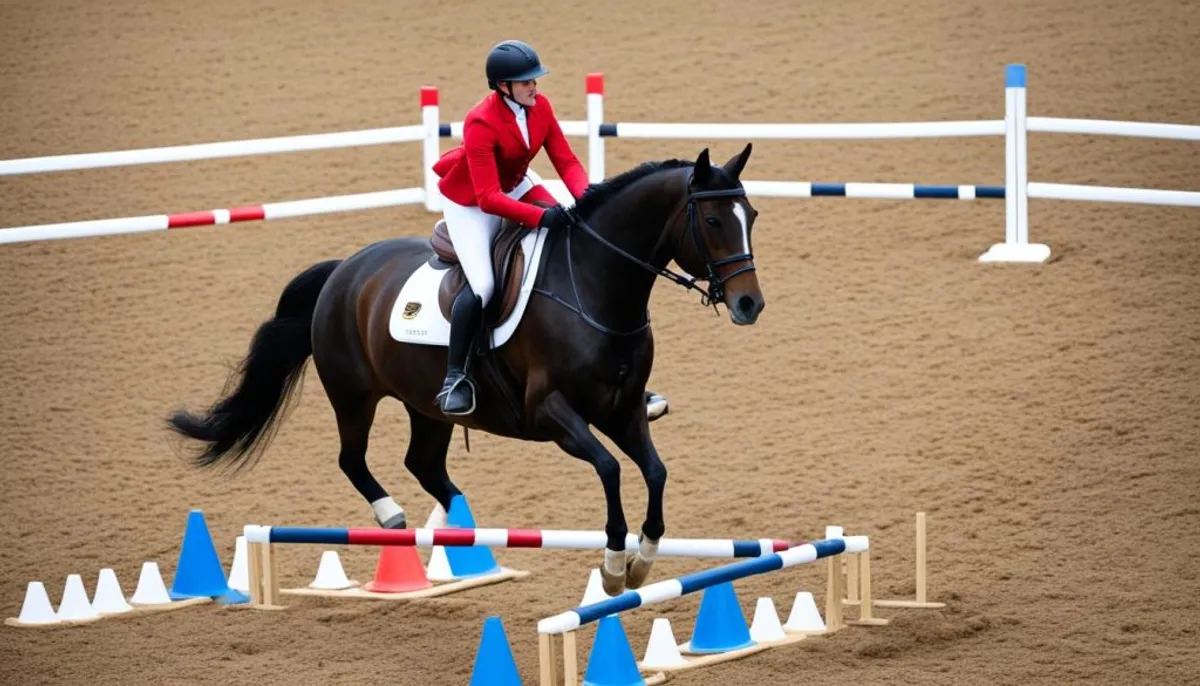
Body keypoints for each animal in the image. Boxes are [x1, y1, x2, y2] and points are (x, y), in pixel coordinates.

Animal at [166, 142, 768, 592]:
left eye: (753, 216)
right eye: (712, 219)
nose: (749, 305)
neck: (596, 288)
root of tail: (343, 270)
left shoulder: (622, 409)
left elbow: (655, 471)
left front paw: (643, 558)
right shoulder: (551, 413)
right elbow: (610, 469)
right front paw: (615, 566)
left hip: (426, 406)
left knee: (424, 464)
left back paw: (455, 527)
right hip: (353, 395)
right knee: (352, 459)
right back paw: (395, 519)